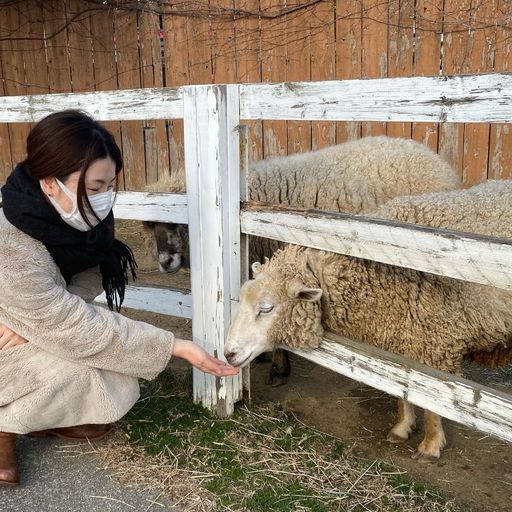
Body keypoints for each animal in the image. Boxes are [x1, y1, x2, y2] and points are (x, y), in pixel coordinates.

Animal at [225, 180, 512, 460]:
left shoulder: (437, 344)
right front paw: (402, 427)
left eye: (266, 309)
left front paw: (431, 445)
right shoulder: (399, 341)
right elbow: (402, 391)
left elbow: (433, 403)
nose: (228, 354)